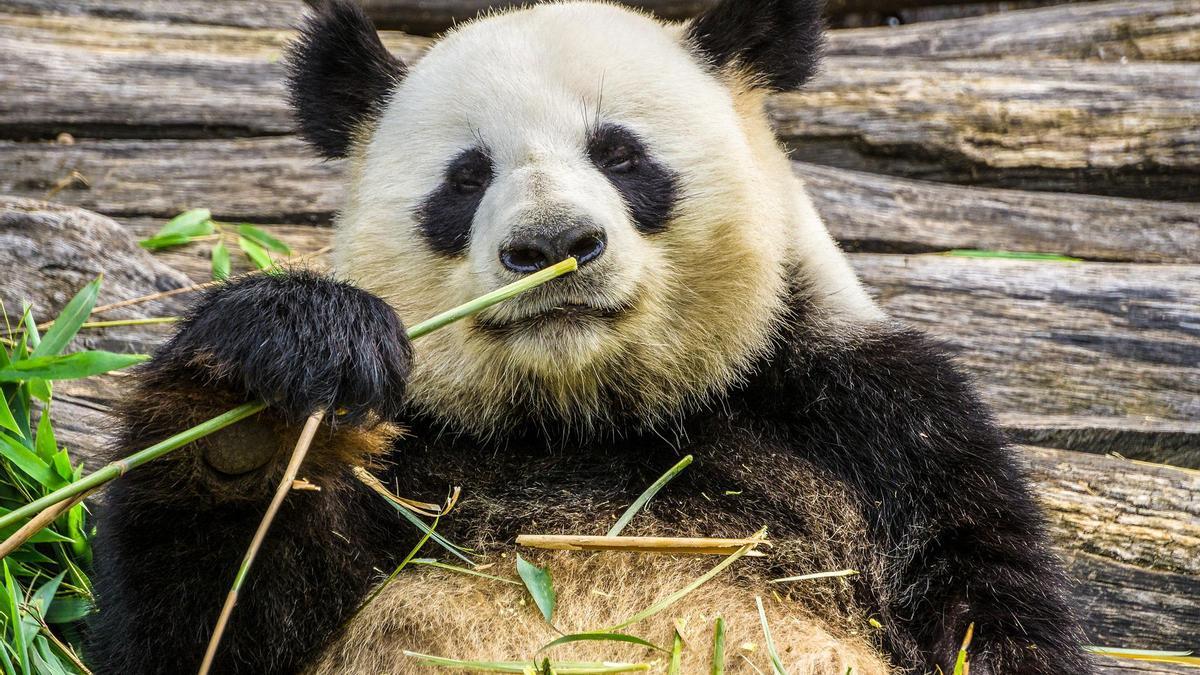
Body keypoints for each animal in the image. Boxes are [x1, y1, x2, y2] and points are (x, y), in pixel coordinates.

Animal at [88, 0, 1094, 667]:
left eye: (620, 153)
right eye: (465, 177)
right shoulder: (417, 462)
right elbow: (208, 626)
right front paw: (263, 401)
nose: (552, 245)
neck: (583, 418)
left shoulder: (882, 432)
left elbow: (985, 613)